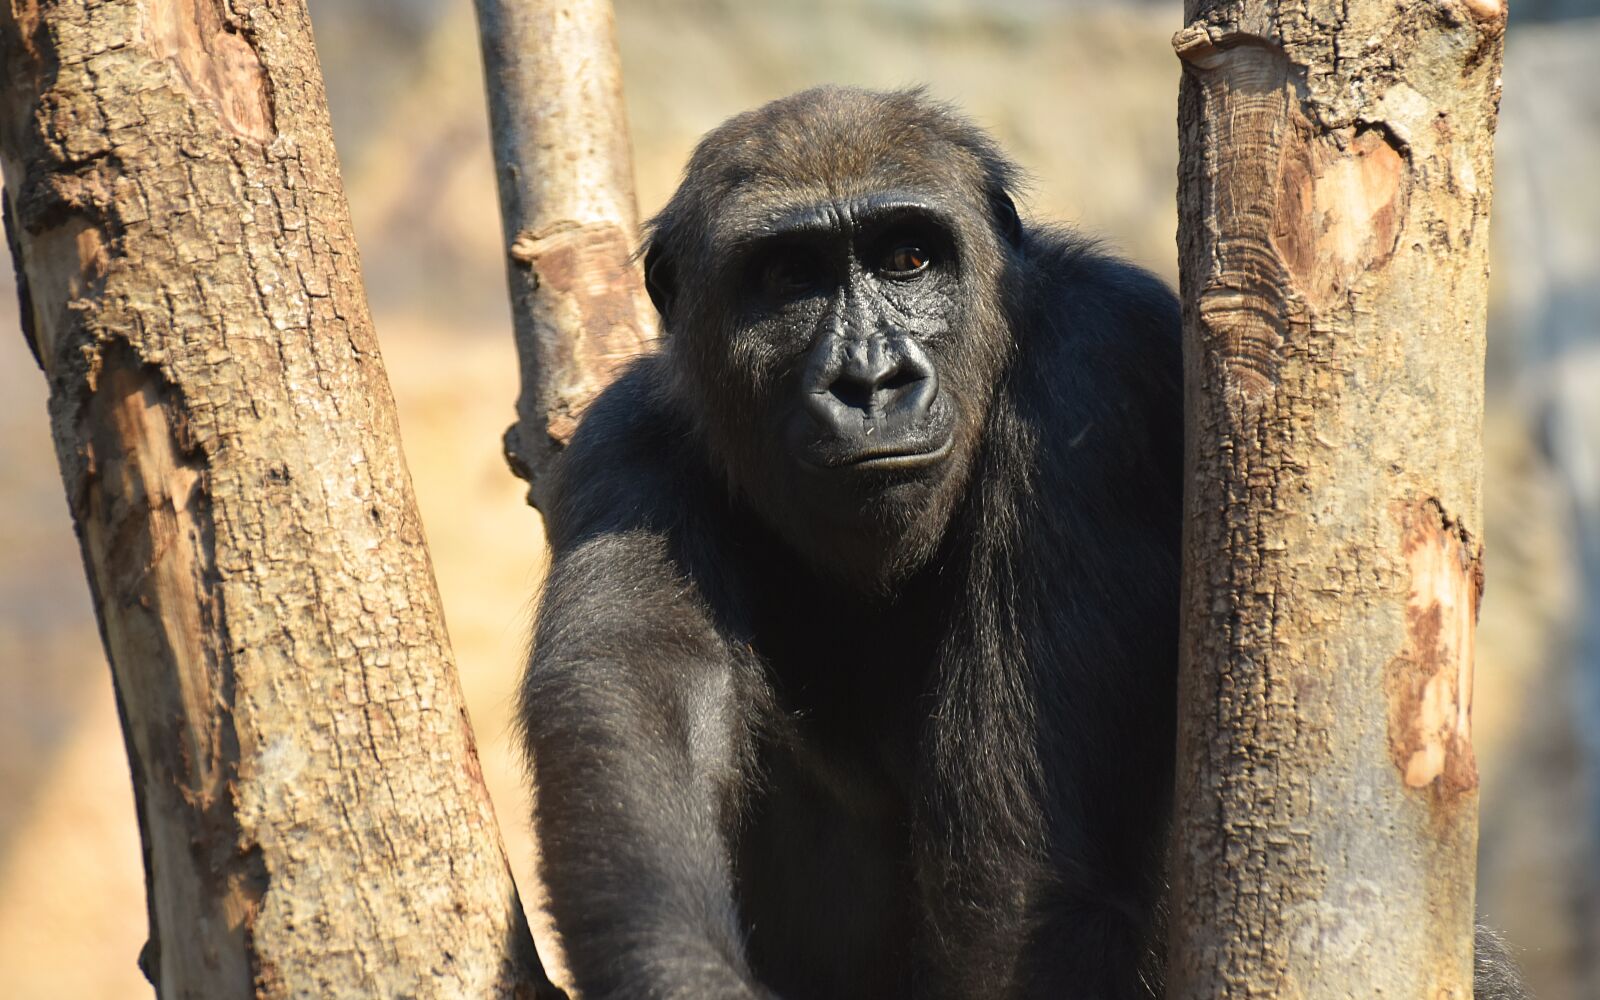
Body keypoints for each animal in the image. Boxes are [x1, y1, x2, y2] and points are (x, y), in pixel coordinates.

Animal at [518, 86, 1526, 1000]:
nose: (870, 380)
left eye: (909, 258)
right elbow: (641, 724)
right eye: (790, 279)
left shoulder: (1092, 368)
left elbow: (1023, 885)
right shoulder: (627, 452)